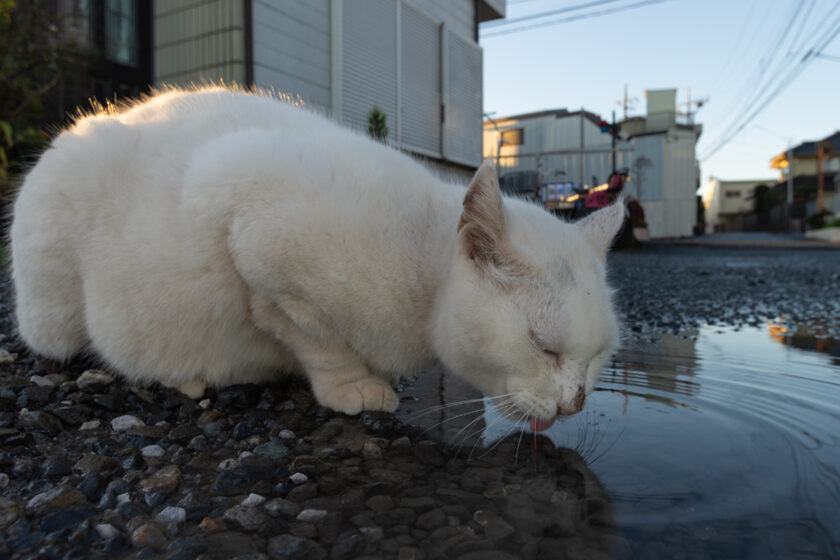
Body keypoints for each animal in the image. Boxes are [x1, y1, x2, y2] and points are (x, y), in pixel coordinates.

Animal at [11, 86, 624, 420]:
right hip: (52, 307)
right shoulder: (250, 215)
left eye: (598, 358)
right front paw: (355, 387)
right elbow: (311, 334)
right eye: (544, 348)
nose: (576, 405)